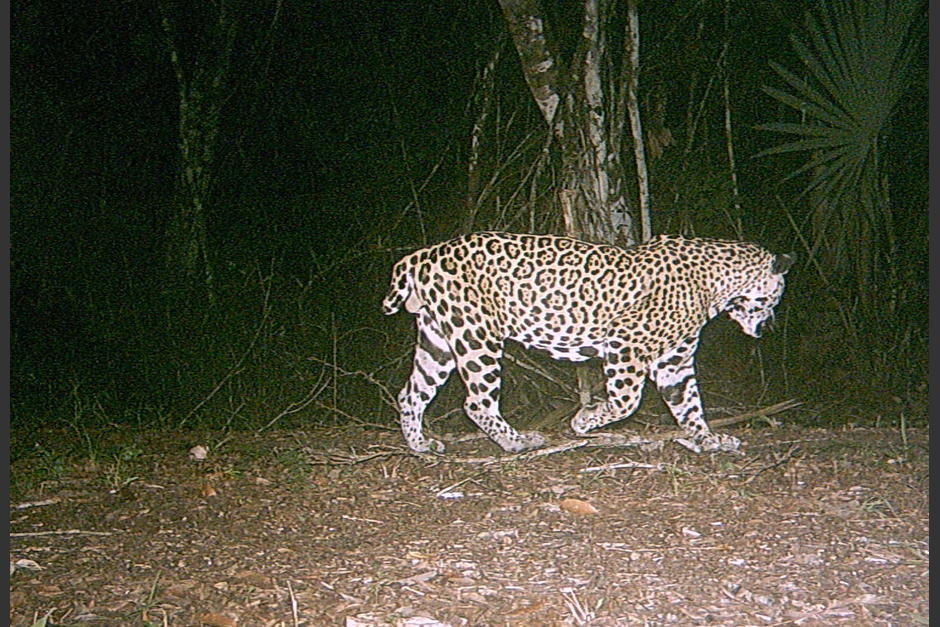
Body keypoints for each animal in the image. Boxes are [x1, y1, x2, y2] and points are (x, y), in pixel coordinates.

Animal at [383, 231, 794, 455]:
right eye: (776, 298)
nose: (769, 325)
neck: (719, 286)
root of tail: (424, 253)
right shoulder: (626, 345)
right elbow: (626, 401)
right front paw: (583, 421)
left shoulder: (674, 361)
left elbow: (689, 404)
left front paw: (708, 440)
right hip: (476, 335)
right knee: (476, 402)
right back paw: (518, 442)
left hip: (438, 338)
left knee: (412, 393)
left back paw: (420, 446)